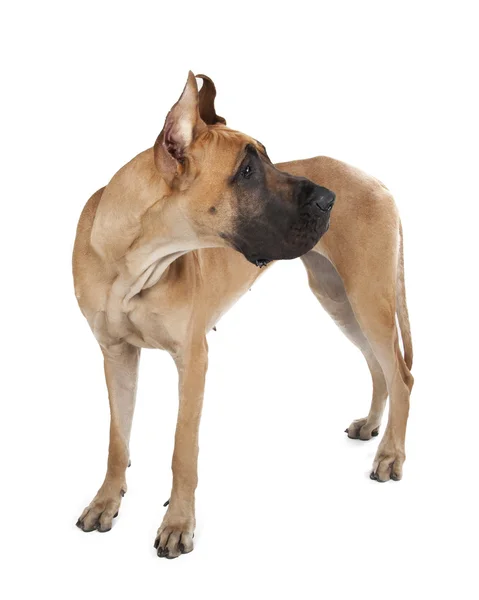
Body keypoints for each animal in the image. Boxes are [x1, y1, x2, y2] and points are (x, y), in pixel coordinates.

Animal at [73, 71, 414, 556]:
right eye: (247, 172)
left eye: (267, 160)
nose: (328, 200)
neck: (135, 258)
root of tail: (376, 180)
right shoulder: (115, 354)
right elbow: (117, 440)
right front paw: (105, 501)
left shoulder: (193, 359)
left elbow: (183, 449)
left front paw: (178, 523)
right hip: (339, 299)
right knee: (377, 365)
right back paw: (371, 426)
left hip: (369, 298)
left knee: (400, 374)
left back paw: (390, 454)